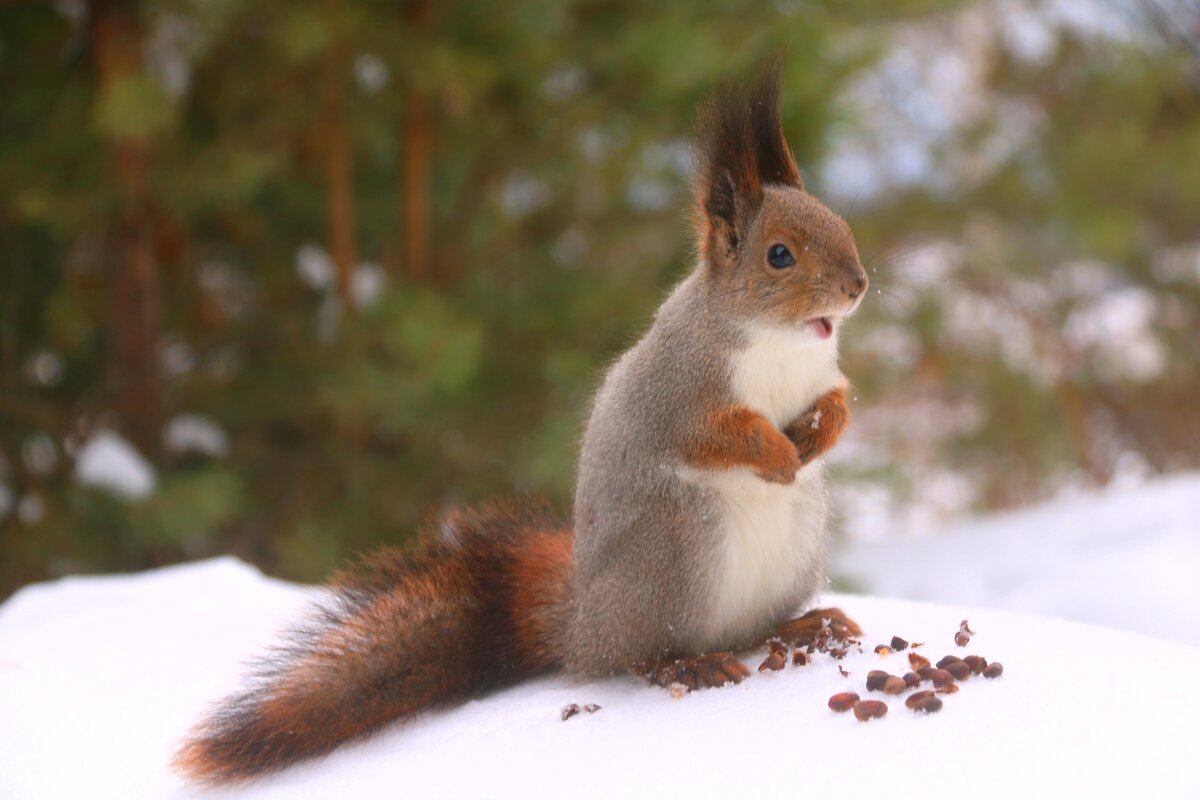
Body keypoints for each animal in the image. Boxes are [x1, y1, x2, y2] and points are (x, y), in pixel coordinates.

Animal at [174, 65, 868, 786]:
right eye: (779, 256)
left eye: (841, 224)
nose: (858, 286)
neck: (780, 344)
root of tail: (581, 625)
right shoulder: (677, 393)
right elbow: (712, 435)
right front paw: (776, 453)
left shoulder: (821, 375)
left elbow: (838, 400)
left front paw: (819, 433)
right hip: (676, 554)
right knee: (639, 658)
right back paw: (692, 663)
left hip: (792, 550)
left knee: (745, 633)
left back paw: (801, 629)